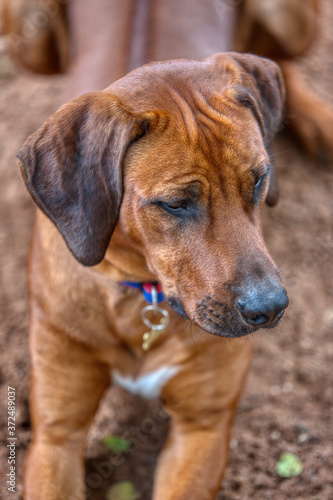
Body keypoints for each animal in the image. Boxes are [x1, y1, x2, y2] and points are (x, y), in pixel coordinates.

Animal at [17, 51, 288, 500]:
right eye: (175, 204)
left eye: (259, 180)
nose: (270, 308)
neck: (145, 295)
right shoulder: (57, 433)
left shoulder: (204, 427)